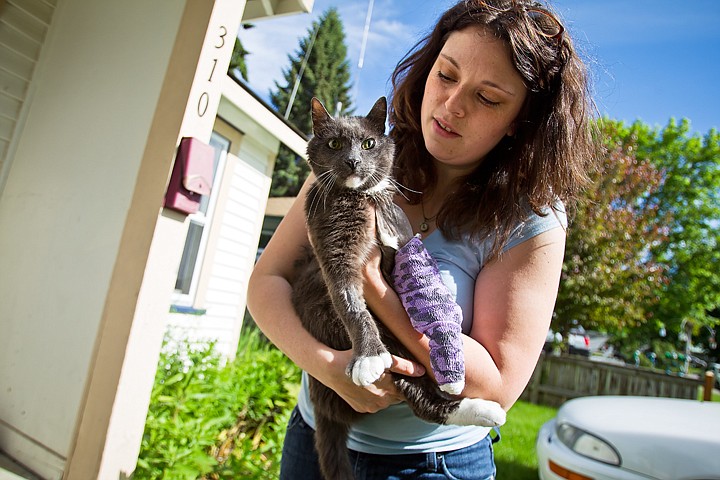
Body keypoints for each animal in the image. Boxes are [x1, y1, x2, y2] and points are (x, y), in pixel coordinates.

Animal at [290, 97, 504, 480]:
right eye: (335, 143)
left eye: (368, 143)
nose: (353, 161)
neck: (359, 199)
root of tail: (325, 409)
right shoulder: (332, 250)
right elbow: (350, 302)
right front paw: (369, 357)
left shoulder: (397, 246)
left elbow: (412, 275)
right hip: (386, 351)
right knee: (421, 400)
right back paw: (480, 408)